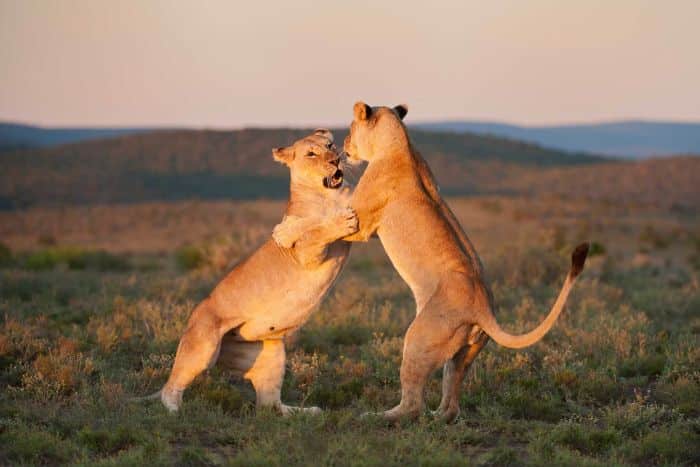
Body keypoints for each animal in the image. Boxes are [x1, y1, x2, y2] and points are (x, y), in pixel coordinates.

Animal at [138, 129, 358, 415]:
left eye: (330, 146)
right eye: (311, 154)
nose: (335, 160)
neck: (329, 194)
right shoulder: (307, 254)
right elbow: (315, 227)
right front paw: (335, 222)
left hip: (272, 354)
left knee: (269, 405)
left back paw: (306, 412)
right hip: (204, 347)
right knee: (171, 385)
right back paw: (176, 411)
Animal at [273, 103, 589, 422]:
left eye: (348, 132)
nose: (342, 150)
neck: (400, 143)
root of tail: (484, 308)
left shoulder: (358, 223)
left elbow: (320, 224)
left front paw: (284, 232)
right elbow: (320, 222)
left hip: (418, 339)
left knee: (413, 403)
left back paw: (378, 416)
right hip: (464, 353)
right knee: (451, 401)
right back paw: (438, 418)